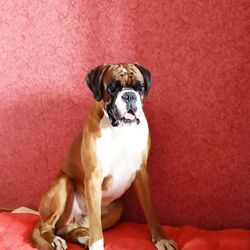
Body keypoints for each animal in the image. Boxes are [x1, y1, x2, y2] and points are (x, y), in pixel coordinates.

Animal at [31, 63, 178, 250]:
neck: (120, 130)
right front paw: (96, 245)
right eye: (112, 88)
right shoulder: (93, 178)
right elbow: (96, 224)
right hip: (63, 184)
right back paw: (57, 240)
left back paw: (82, 238)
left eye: (140, 87)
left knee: (71, 230)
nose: (129, 95)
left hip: (118, 207)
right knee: (47, 226)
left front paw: (161, 238)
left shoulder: (142, 174)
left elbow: (150, 210)